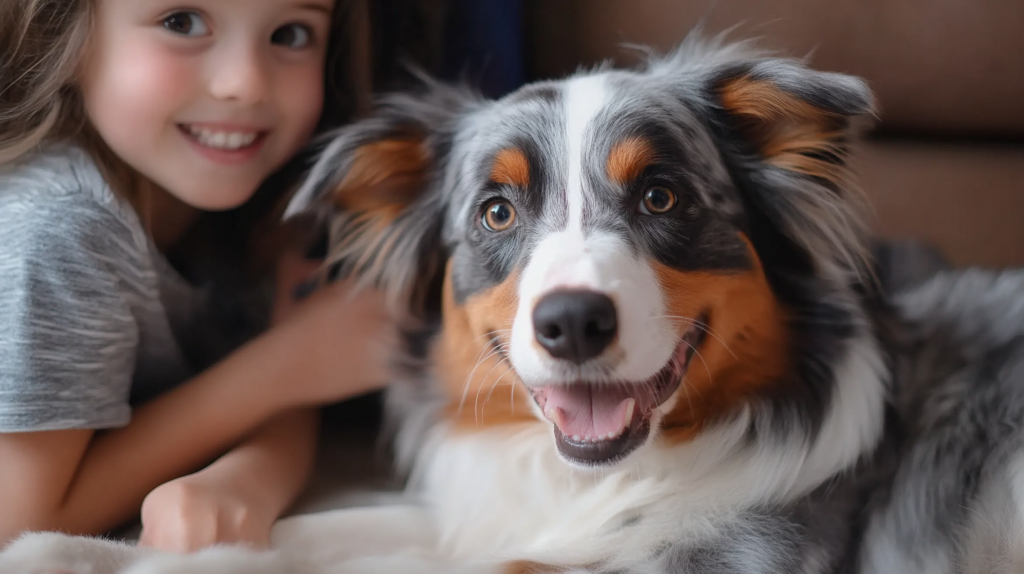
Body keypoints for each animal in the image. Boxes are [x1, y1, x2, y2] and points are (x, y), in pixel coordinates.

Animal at [6, 34, 1024, 572]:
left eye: (661, 196)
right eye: (496, 210)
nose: (571, 322)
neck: (603, 478)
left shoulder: (740, 556)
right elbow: (304, 529)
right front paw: (80, 549)